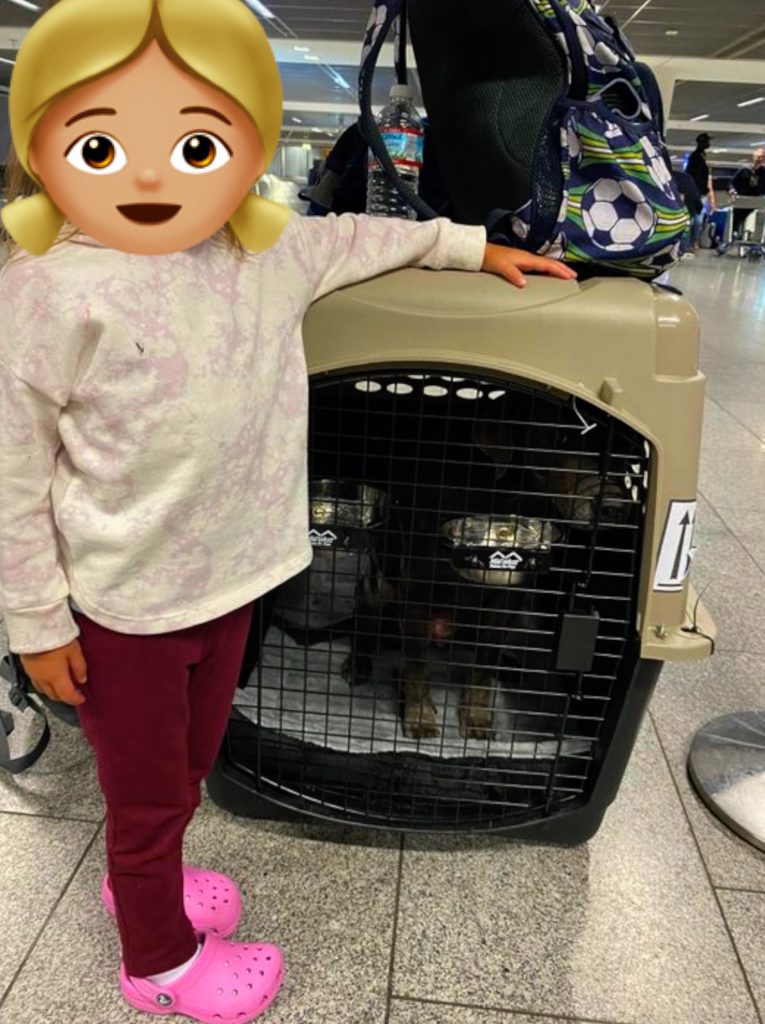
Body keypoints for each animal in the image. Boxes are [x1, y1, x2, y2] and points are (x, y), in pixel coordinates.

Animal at [236, 372, 651, 778]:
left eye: (624, 453)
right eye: (562, 437)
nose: (617, 507)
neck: (500, 492)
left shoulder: (507, 595)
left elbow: (483, 663)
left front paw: (479, 714)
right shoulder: (419, 588)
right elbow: (417, 666)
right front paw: (419, 714)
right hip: (376, 588)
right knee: (370, 632)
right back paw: (361, 661)